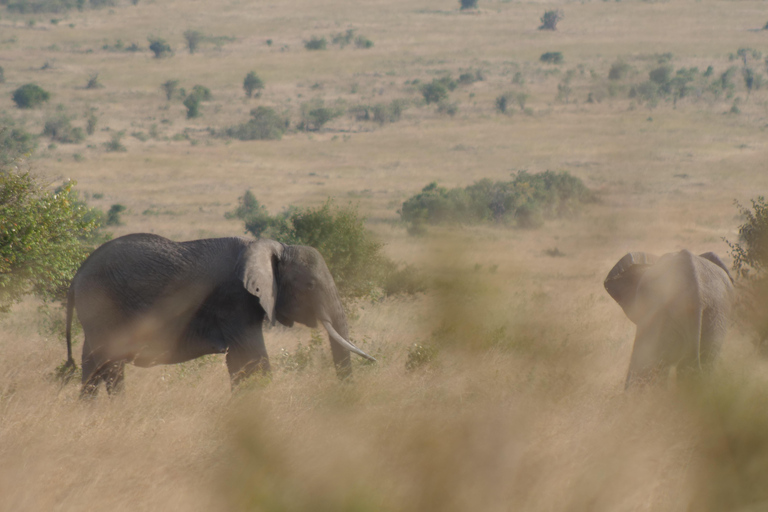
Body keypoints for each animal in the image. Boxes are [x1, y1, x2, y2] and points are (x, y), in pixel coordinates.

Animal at [64, 232, 376, 396]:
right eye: (310, 286)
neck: (270, 247)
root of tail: (77, 274)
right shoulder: (234, 300)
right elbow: (253, 358)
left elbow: (239, 362)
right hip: (103, 305)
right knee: (110, 363)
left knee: (92, 364)